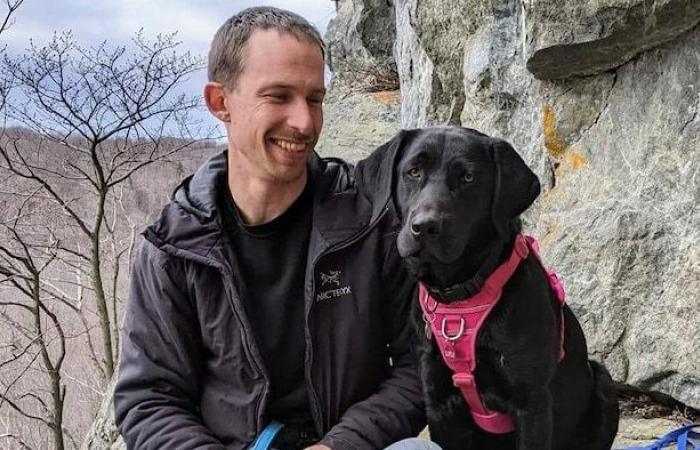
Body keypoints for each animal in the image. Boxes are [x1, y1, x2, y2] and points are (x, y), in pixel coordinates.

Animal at [356, 126, 616, 450]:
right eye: (413, 171)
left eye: (468, 178)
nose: (425, 226)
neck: (460, 298)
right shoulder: (440, 403)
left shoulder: (532, 404)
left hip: (603, 382)